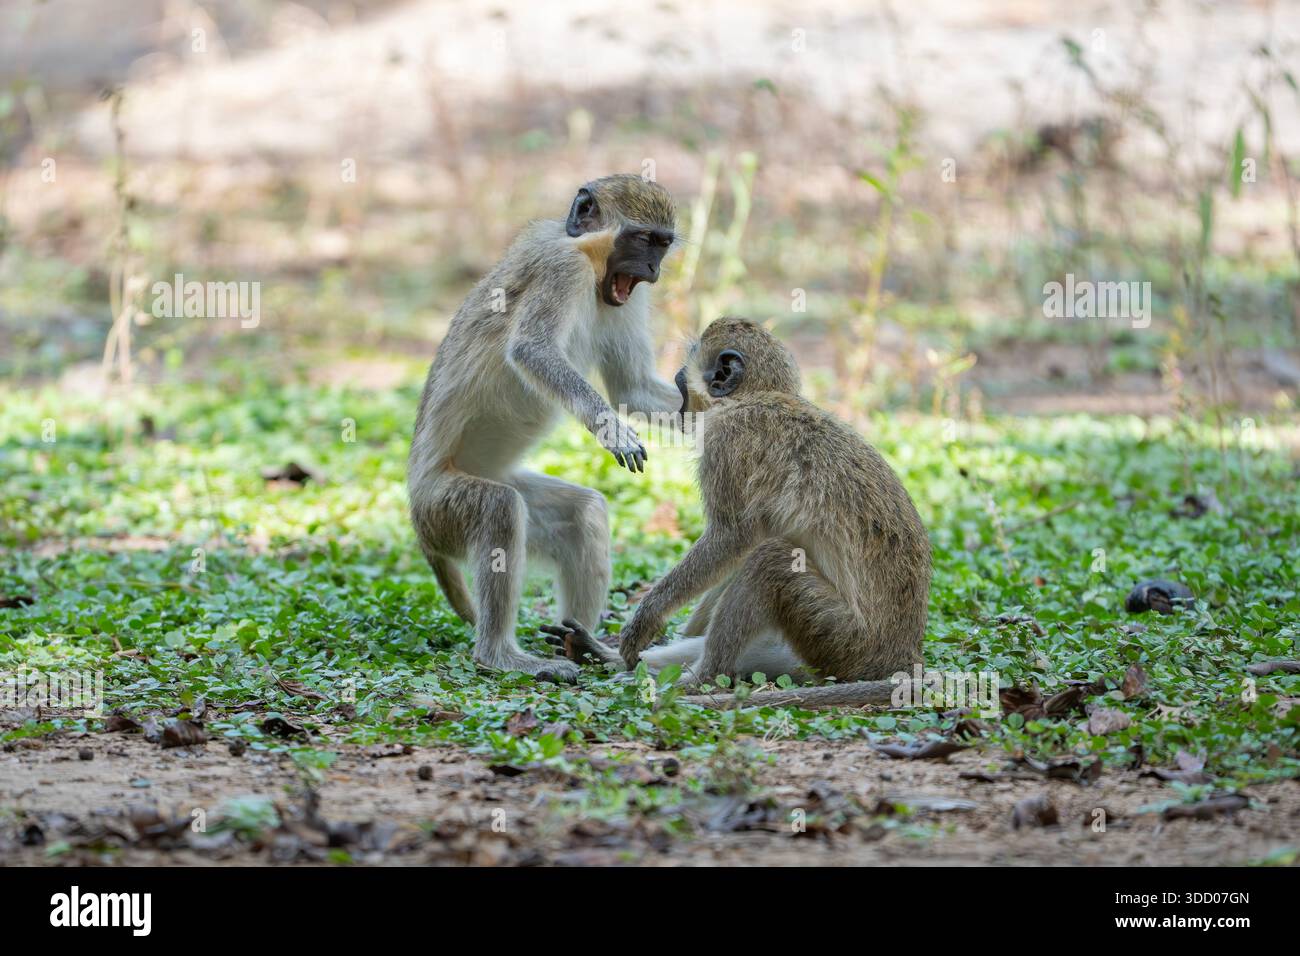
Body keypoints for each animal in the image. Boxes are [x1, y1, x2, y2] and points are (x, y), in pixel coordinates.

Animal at [408, 174, 684, 681]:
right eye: (643, 239)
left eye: (663, 243)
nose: (654, 270)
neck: (588, 256)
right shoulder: (561, 269)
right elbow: (531, 350)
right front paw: (610, 428)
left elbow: (633, 390)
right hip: (440, 509)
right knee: (498, 509)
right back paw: (501, 656)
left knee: (582, 514)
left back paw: (581, 644)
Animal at [543, 316, 932, 709]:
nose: (677, 376)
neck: (755, 396)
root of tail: (903, 656)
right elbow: (734, 552)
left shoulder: (725, 441)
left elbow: (732, 537)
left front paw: (645, 620)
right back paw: (601, 655)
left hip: (843, 641)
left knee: (770, 561)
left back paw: (698, 679)